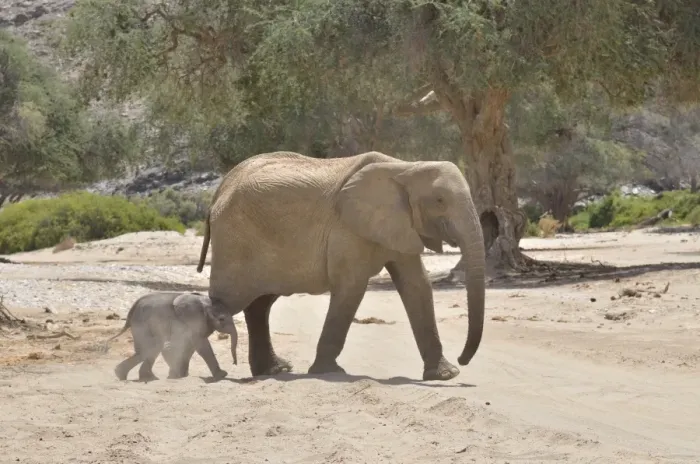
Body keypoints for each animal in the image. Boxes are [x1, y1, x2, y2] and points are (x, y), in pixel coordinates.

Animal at [106, 291, 237, 382]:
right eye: (222, 319)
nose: (234, 363)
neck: (204, 303)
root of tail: (132, 308)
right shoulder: (192, 321)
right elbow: (201, 345)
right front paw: (222, 375)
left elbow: (189, 346)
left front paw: (179, 374)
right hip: (143, 323)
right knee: (151, 347)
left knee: (147, 349)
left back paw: (128, 376)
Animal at [196, 151, 485, 381]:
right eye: (440, 201)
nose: (463, 360)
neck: (406, 167)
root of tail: (220, 189)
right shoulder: (347, 230)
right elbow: (351, 288)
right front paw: (328, 372)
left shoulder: (400, 224)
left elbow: (417, 286)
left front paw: (445, 375)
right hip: (235, 241)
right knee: (227, 302)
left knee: (260, 304)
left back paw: (273, 371)